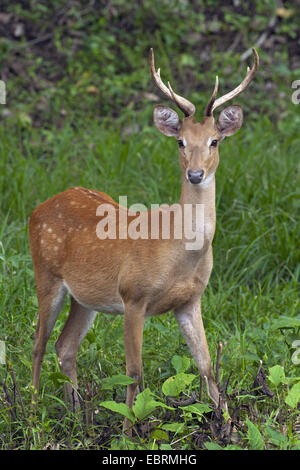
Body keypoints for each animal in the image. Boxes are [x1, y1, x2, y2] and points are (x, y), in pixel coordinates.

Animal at [29, 46, 258, 434]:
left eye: (214, 141)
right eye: (181, 141)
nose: (195, 173)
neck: (178, 251)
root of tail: (38, 208)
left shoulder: (191, 300)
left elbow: (207, 367)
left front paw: (228, 426)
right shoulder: (133, 296)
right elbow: (134, 373)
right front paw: (127, 432)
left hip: (86, 297)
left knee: (65, 346)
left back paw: (80, 419)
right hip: (45, 275)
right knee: (39, 345)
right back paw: (29, 414)